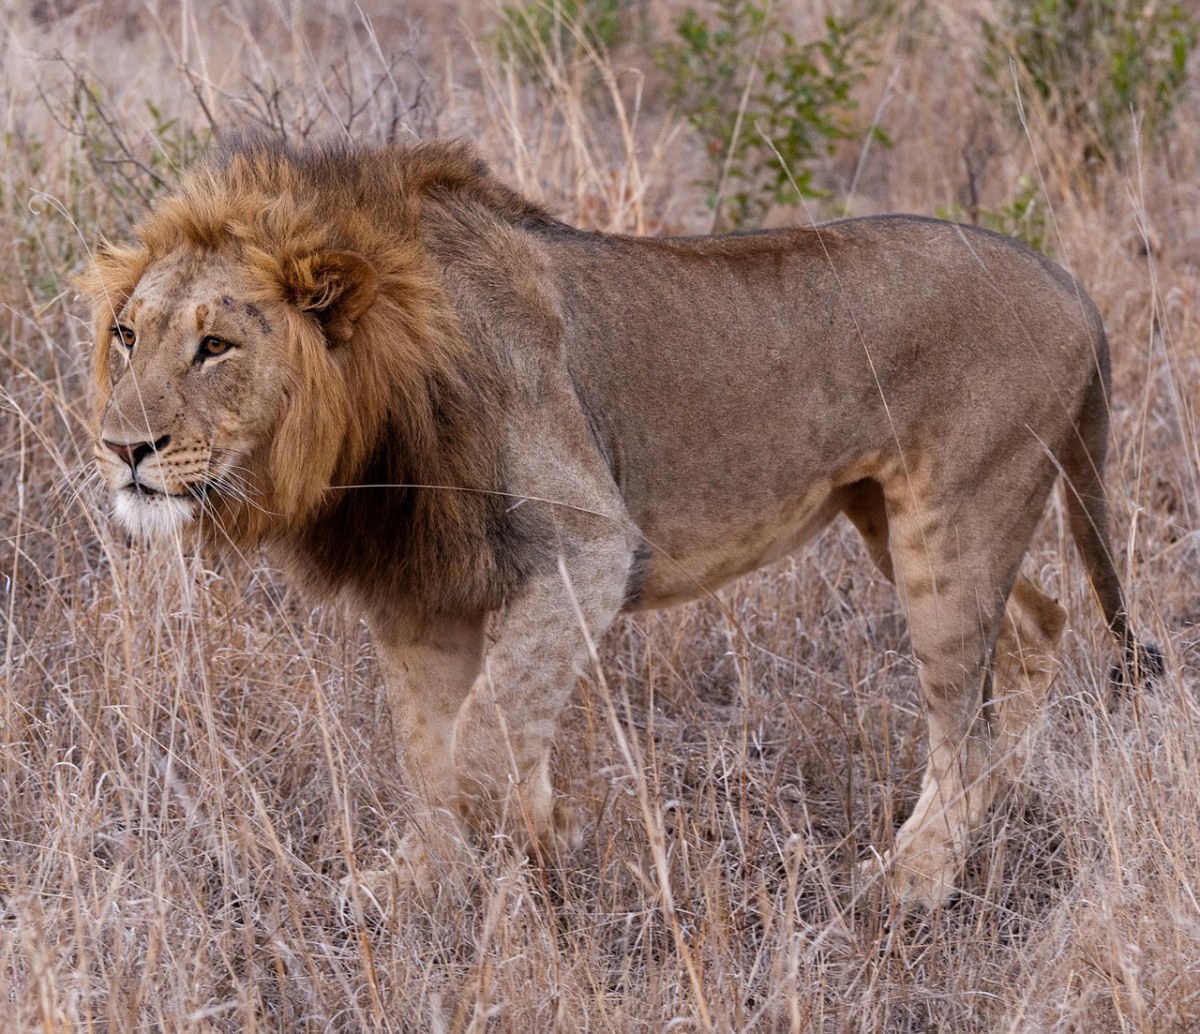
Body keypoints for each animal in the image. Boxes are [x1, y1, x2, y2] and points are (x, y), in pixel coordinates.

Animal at [77, 135, 1161, 906]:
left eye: (216, 345)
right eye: (126, 334)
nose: (122, 447)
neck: (369, 424)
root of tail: (1074, 287)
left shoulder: (588, 543)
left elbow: (480, 740)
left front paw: (540, 843)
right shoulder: (422, 596)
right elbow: (431, 749)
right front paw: (420, 882)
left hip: (954, 518)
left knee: (963, 712)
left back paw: (917, 877)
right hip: (902, 522)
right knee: (1037, 629)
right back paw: (986, 815)